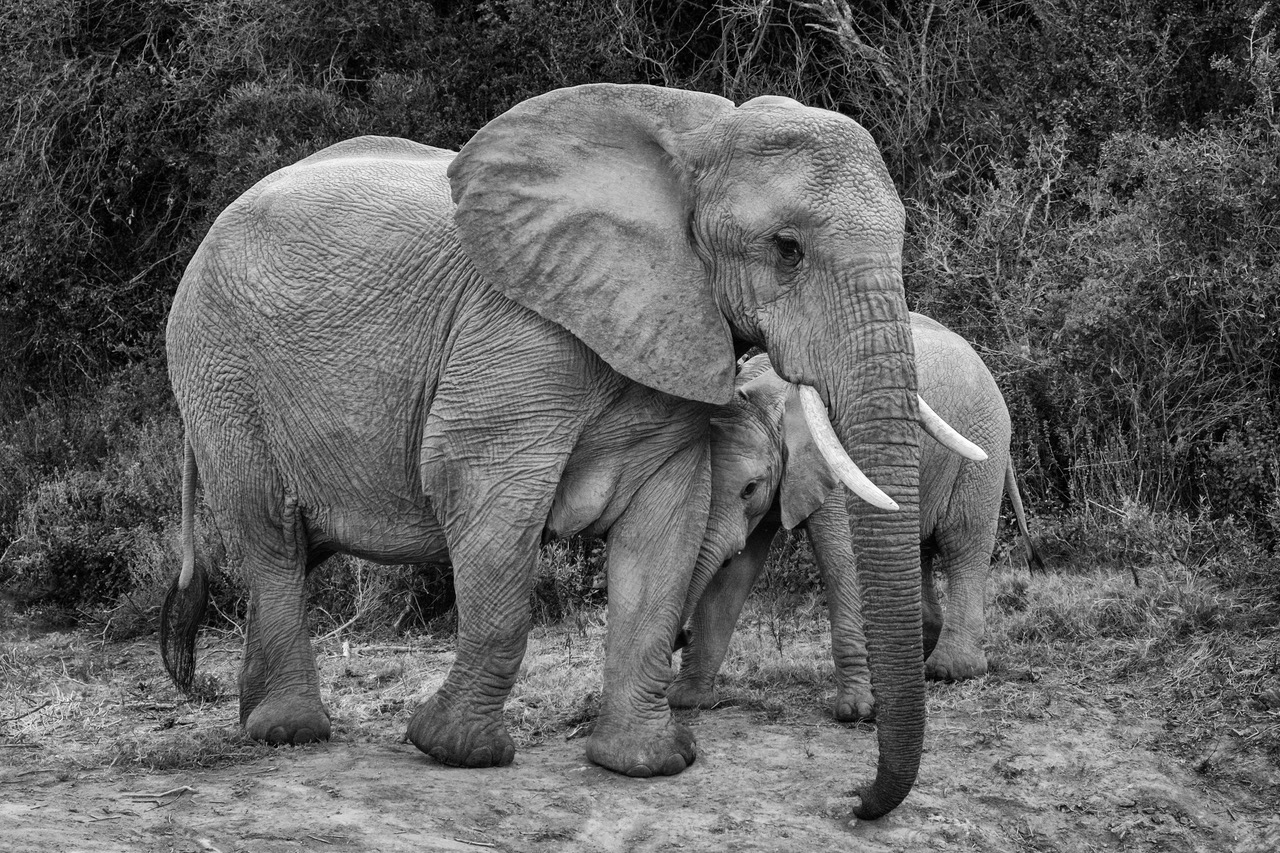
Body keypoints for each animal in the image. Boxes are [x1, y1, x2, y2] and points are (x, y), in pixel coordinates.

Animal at [165, 83, 936, 814]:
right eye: (787, 247)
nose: (856, 798)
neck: (696, 136)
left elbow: (666, 528)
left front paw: (646, 762)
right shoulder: (516, 330)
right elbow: (481, 489)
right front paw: (456, 750)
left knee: (297, 549)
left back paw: (255, 715)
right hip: (220, 368)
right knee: (270, 535)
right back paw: (290, 731)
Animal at [670, 312, 1039, 717]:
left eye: (749, 488)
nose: (679, 635)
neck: (767, 393)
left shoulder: (831, 459)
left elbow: (842, 560)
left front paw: (857, 712)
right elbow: (736, 571)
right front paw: (688, 701)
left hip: (984, 438)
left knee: (963, 540)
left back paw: (949, 670)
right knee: (921, 546)